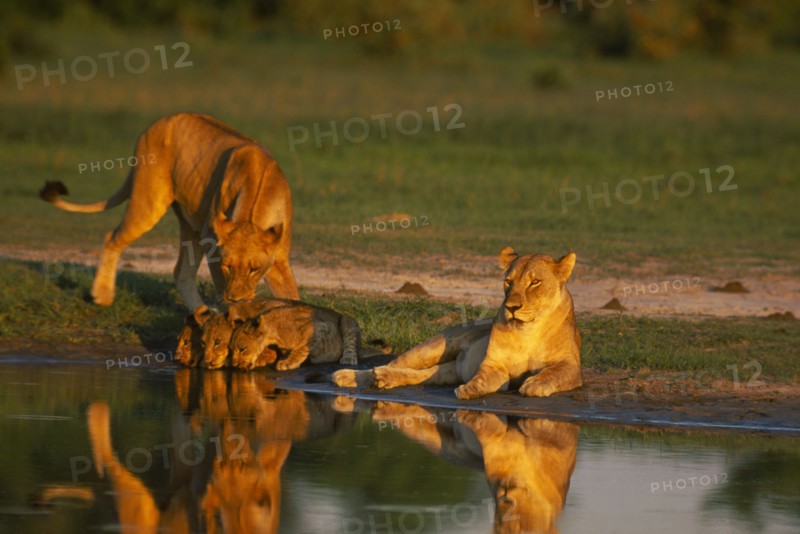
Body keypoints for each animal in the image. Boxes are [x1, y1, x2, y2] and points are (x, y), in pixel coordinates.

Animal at [39, 112, 299, 310]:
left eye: (255, 269)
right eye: (228, 266)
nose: (236, 298)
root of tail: (157, 122)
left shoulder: (279, 259)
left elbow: (291, 296)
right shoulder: (214, 247)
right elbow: (221, 288)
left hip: (192, 226)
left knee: (180, 272)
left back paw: (201, 314)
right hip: (149, 202)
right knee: (112, 238)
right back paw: (102, 296)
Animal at [333, 247, 582, 399]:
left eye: (535, 282)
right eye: (508, 282)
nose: (511, 307)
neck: (528, 329)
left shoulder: (572, 365)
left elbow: (554, 371)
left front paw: (535, 384)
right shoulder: (493, 365)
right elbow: (484, 378)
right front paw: (470, 389)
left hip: (449, 370)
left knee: (422, 374)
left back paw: (384, 379)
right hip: (433, 347)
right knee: (393, 363)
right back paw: (349, 375)